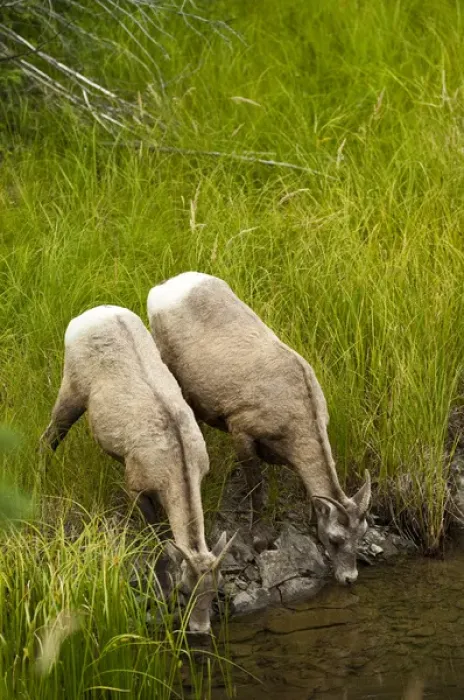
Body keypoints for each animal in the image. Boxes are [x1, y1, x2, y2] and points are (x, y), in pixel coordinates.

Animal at [41, 304, 235, 632]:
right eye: (185, 590)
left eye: (214, 590)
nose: (200, 628)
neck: (177, 468)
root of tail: (93, 312)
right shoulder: (135, 486)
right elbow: (157, 537)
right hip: (71, 387)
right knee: (49, 436)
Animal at [147, 273, 371, 585]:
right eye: (335, 538)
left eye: (361, 534)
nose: (349, 578)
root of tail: (165, 288)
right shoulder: (242, 433)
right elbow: (256, 487)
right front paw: (260, 539)